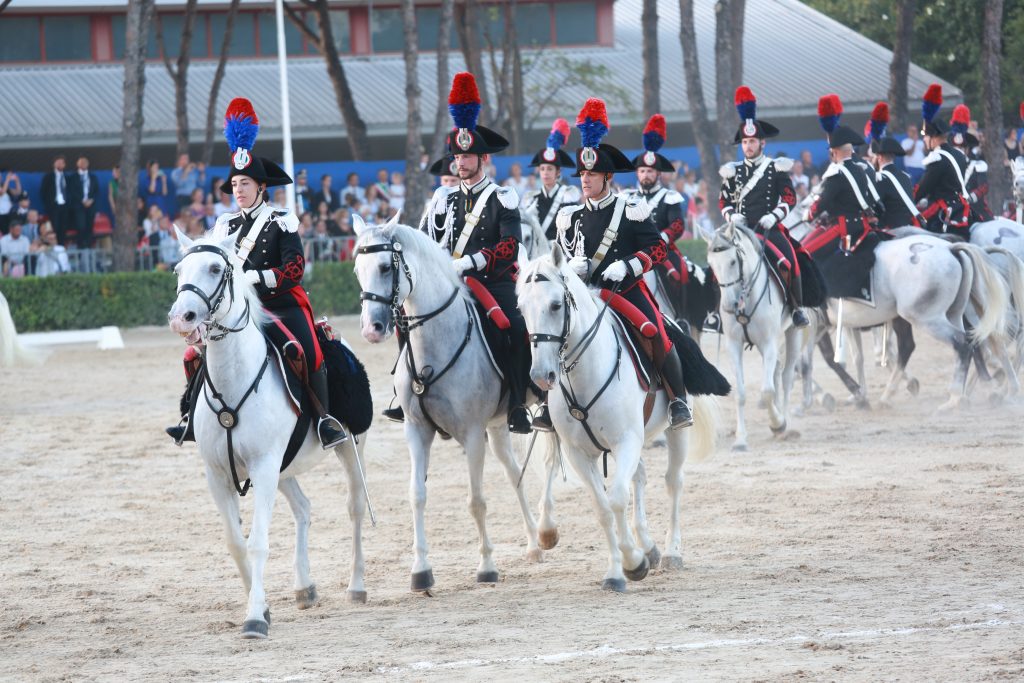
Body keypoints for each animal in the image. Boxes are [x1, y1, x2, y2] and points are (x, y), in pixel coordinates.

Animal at [169, 233, 370, 643]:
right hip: (284, 468)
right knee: (304, 509)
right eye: (178, 270)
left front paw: (254, 620)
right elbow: (235, 544)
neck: (234, 381)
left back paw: (356, 586)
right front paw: (260, 606)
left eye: (216, 268)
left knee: (354, 508)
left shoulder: (262, 467)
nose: (182, 318)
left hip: (348, 447)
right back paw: (304, 587)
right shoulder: (218, 475)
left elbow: (258, 543)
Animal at [352, 216, 544, 589]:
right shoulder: (416, 430)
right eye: (357, 270)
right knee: (515, 471)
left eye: (385, 267)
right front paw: (420, 570)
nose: (371, 329)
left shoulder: (471, 434)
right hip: (498, 426)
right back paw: (534, 543)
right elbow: (417, 495)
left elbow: (476, 500)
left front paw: (487, 566)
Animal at [516, 246, 716, 593]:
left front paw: (633, 564)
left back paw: (671, 552)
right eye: (521, 309)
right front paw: (616, 570)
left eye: (556, 305)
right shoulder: (578, 452)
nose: (542, 376)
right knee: (640, 476)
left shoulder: (626, 441)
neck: (585, 373)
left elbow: (618, 499)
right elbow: (603, 508)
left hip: (673, 432)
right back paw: (648, 545)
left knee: (672, 482)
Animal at [708, 222, 802, 450]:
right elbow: (740, 394)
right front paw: (740, 439)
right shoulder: (733, 345)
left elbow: (767, 390)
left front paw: (778, 423)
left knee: (786, 377)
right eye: (712, 266)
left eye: (733, 261)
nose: (728, 306)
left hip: (792, 333)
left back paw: (785, 421)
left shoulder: (768, 342)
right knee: (776, 371)